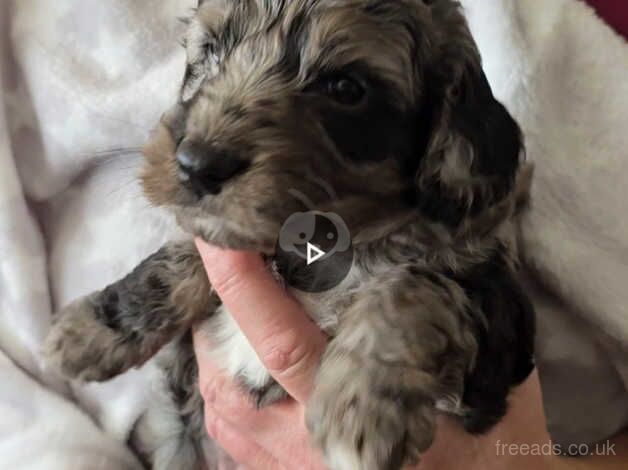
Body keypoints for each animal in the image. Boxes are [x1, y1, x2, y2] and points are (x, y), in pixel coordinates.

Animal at [43, 1, 536, 468]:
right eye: (212, 51)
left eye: (346, 89)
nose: (196, 165)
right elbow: (184, 256)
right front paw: (90, 330)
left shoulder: (493, 332)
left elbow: (414, 286)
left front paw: (359, 414)